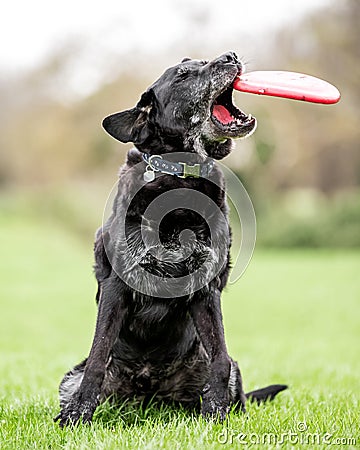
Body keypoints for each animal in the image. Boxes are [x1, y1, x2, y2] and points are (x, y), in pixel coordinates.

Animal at [55, 51, 286, 428]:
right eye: (183, 75)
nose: (231, 56)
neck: (180, 178)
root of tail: (150, 395)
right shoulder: (118, 285)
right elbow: (98, 356)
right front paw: (77, 414)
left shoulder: (206, 288)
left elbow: (220, 358)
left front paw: (216, 413)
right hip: (70, 377)